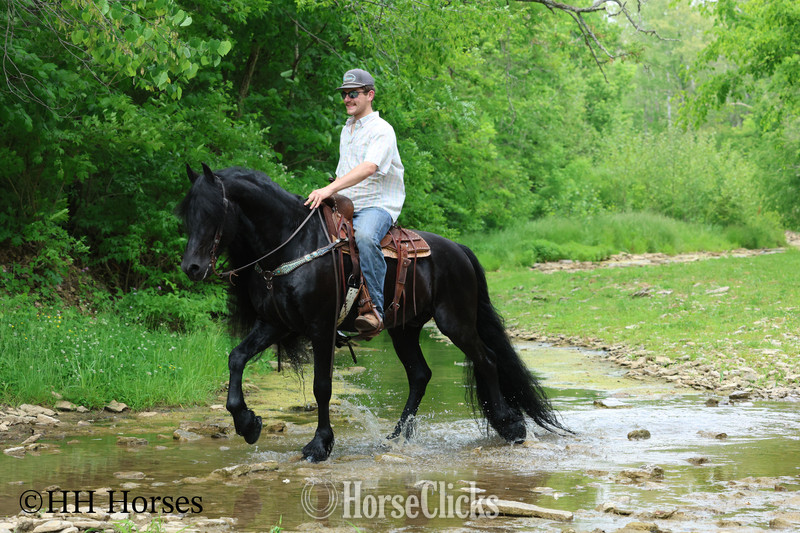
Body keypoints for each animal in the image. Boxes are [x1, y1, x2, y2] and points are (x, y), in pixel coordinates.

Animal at [178, 163, 566, 462]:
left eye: (213, 212)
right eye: (187, 214)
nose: (191, 268)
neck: (294, 245)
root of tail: (458, 249)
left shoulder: (319, 328)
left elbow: (321, 386)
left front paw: (319, 446)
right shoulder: (275, 324)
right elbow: (236, 358)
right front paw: (247, 424)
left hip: (454, 321)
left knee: (486, 359)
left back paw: (511, 426)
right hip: (404, 328)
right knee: (420, 374)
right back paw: (397, 437)